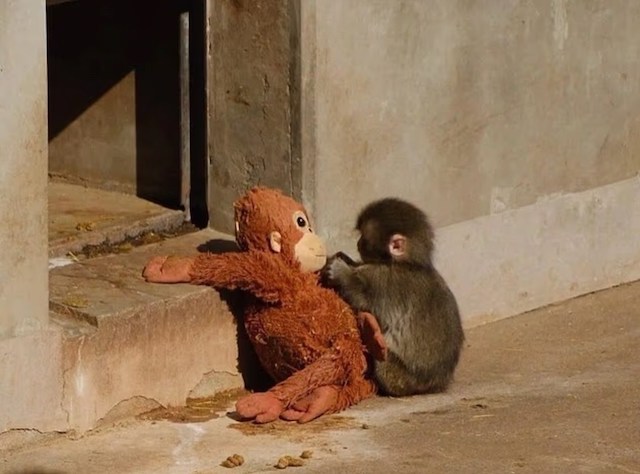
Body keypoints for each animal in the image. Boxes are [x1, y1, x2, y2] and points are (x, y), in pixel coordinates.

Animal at [321, 198, 464, 396]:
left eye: (364, 237)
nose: (358, 243)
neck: (407, 263)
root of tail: (434, 385)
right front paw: (345, 259)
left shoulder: (383, 280)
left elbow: (365, 302)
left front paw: (341, 272)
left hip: (399, 378)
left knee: (382, 358)